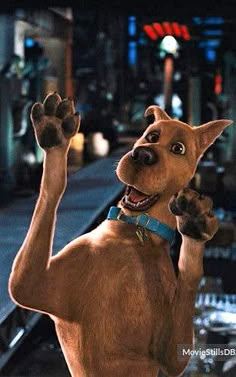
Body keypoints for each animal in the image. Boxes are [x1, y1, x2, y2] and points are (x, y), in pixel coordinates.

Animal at [8, 92, 232, 376]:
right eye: (152, 136)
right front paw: (54, 132)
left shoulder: (172, 354)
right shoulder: (29, 285)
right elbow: (52, 186)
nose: (143, 155)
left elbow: (191, 274)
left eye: (178, 149)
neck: (136, 231)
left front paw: (194, 222)